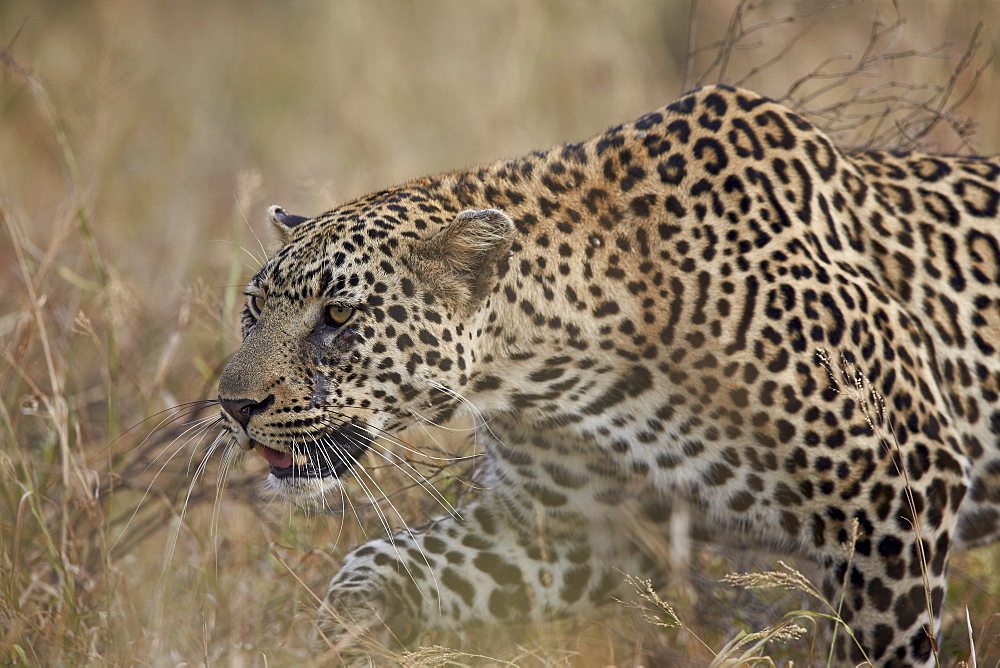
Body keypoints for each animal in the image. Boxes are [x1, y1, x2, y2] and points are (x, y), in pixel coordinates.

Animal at [219, 86, 1000, 664]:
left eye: (338, 315)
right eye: (253, 310)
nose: (233, 406)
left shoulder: (898, 496)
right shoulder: (555, 529)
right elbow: (374, 562)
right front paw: (348, 635)